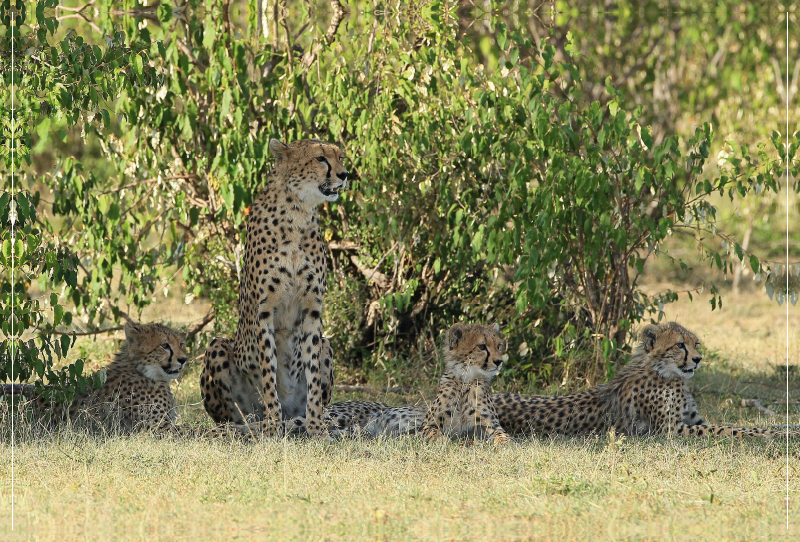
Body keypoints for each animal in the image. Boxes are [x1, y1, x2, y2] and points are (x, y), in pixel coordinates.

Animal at [21, 314, 188, 434]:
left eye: (181, 344)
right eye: (164, 345)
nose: (183, 359)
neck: (140, 371)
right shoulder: (156, 429)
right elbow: (192, 431)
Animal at [200, 139, 344, 438]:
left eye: (341, 157)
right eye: (321, 158)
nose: (345, 175)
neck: (298, 212)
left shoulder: (312, 310)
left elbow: (312, 374)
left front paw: (316, 426)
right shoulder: (264, 311)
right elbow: (268, 370)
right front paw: (273, 425)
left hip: (327, 345)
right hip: (217, 347)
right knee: (233, 417)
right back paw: (254, 424)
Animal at [494, 324, 776, 442]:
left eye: (696, 343)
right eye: (679, 345)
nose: (697, 360)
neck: (664, 371)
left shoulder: (695, 421)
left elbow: (738, 426)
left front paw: (779, 428)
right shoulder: (671, 431)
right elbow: (730, 430)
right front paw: (773, 434)